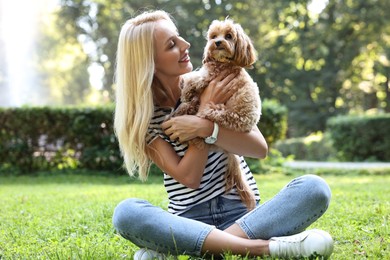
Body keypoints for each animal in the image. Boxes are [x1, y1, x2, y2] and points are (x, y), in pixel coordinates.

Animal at [174, 17, 260, 209]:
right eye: (213, 36)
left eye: (228, 36)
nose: (218, 42)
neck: (225, 62)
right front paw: (185, 99)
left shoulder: (209, 76)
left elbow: (194, 78)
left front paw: (186, 91)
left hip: (219, 112)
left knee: (202, 117)